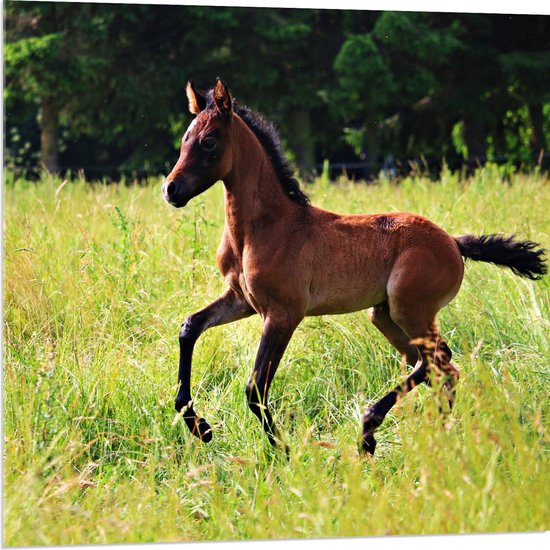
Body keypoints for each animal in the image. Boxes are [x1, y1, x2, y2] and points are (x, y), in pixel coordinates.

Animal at [162, 78, 548, 458]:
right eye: (184, 140)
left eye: (209, 141)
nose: (171, 189)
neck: (265, 227)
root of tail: (453, 242)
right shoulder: (241, 299)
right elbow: (190, 327)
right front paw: (199, 426)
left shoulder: (284, 313)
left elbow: (255, 386)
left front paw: (283, 452)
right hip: (385, 316)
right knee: (439, 369)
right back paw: (432, 438)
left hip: (410, 310)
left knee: (439, 361)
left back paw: (370, 431)